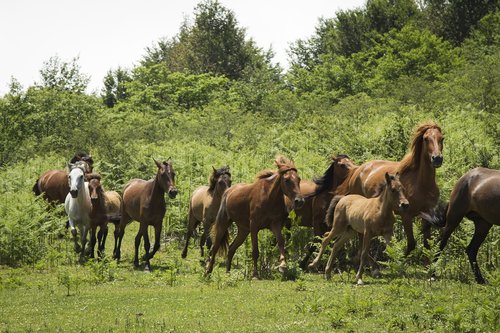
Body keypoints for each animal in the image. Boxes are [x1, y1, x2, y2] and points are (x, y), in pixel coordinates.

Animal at [334, 122, 444, 254]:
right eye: (426, 139)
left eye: (442, 138)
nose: (437, 158)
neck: (421, 184)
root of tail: (357, 170)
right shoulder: (406, 216)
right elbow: (411, 244)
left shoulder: (427, 215)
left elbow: (427, 245)